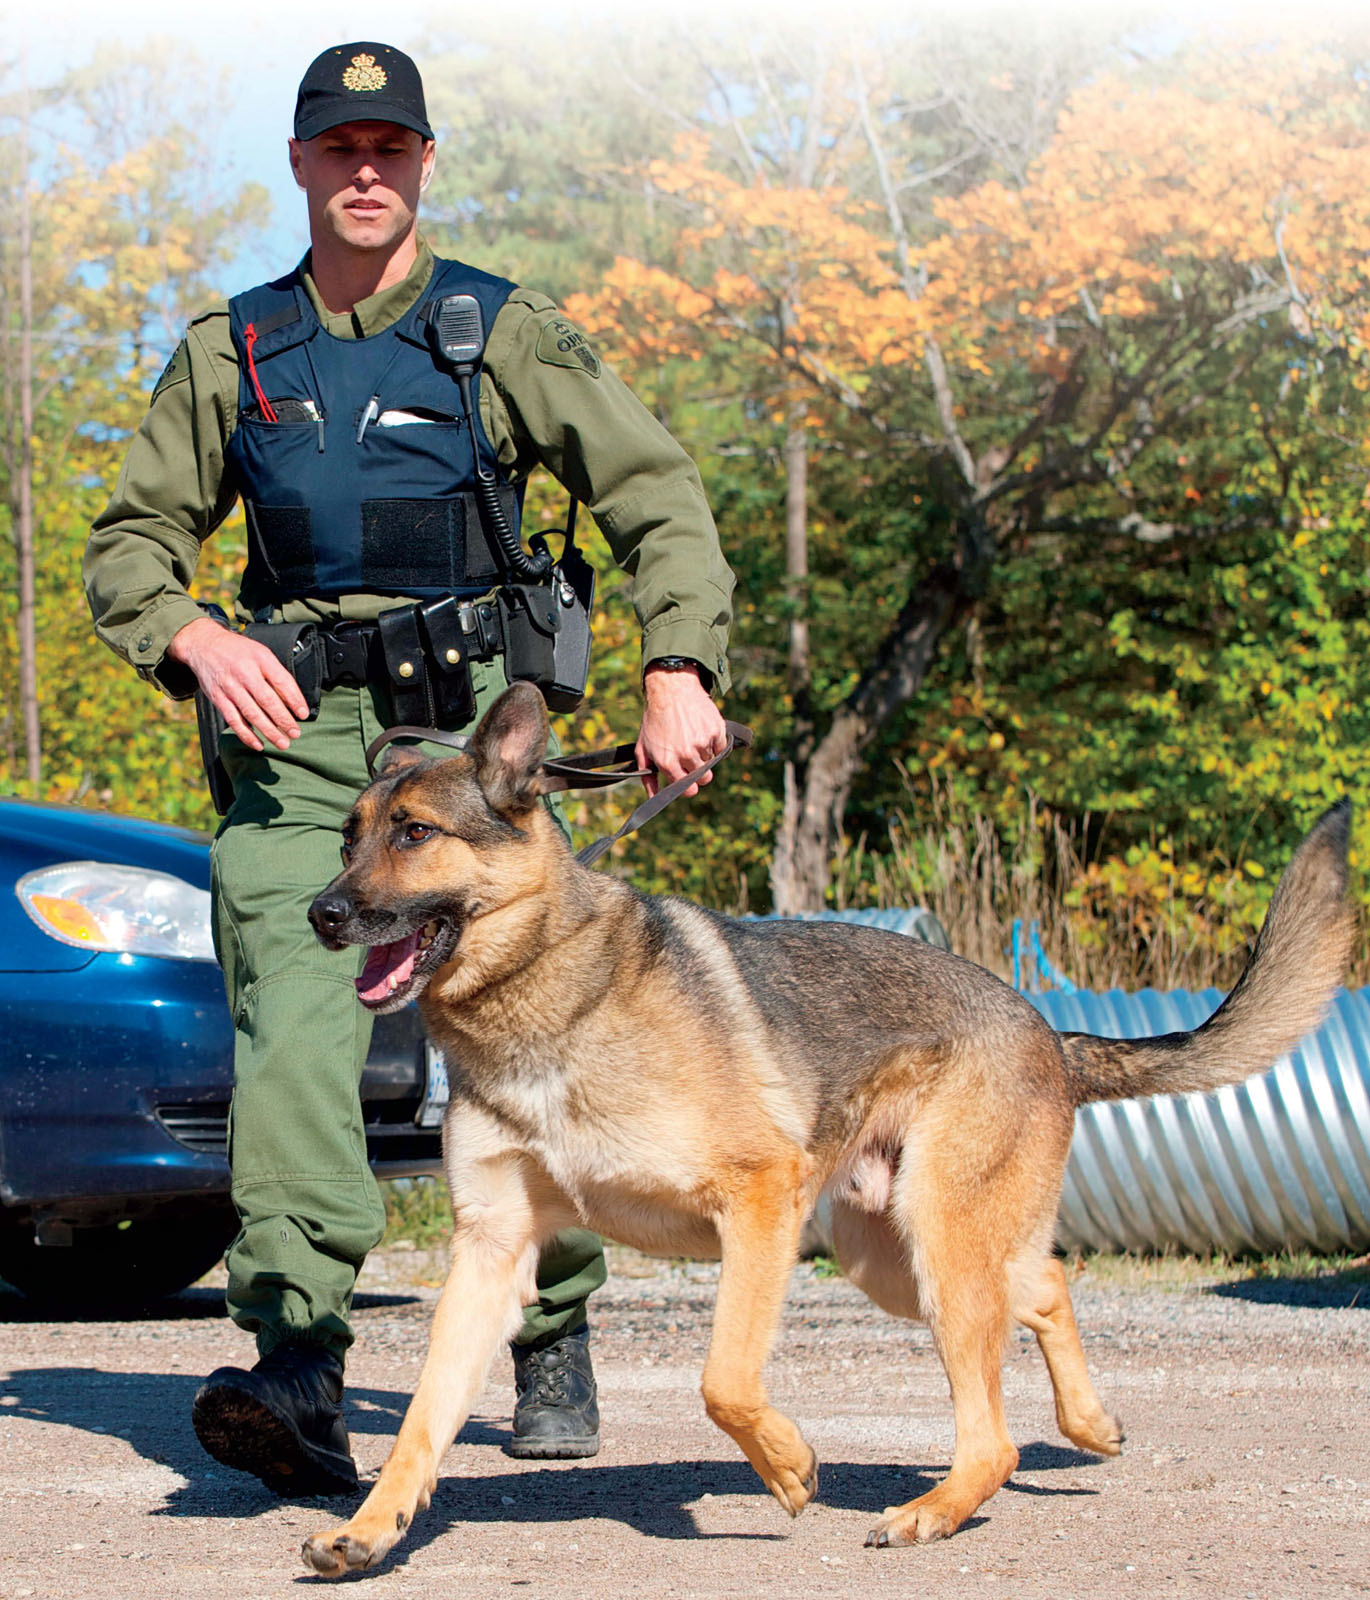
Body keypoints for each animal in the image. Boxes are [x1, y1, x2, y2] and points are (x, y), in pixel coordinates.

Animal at [297, 684, 1350, 1574]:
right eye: (346, 839)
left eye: (415, 833)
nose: (321, 913)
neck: (545, 995)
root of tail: (1046, 1028)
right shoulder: (489, 1251)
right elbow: (422, 1418)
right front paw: (369, 1530)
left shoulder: (758, 1203)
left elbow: (724, 1379)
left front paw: (789, 1464)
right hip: (893, 1260)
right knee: (1043, 1284)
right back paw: (1089, 1425)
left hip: (935, 1244)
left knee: (996, 1429)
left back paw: (935, 1510)